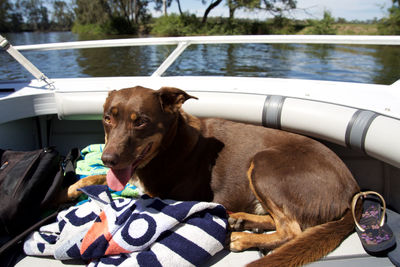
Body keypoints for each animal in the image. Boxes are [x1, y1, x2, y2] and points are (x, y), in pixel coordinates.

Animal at [101, 87, 362, 266]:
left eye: (141, 122)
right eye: (107, 118)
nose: (107, 159)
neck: (170, 144)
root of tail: (354, 191)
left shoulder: (165, 196)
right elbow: (100, 179)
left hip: (264, 164)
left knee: (292, 230)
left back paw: (242, 237)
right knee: (282, 221)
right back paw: (239, 220)